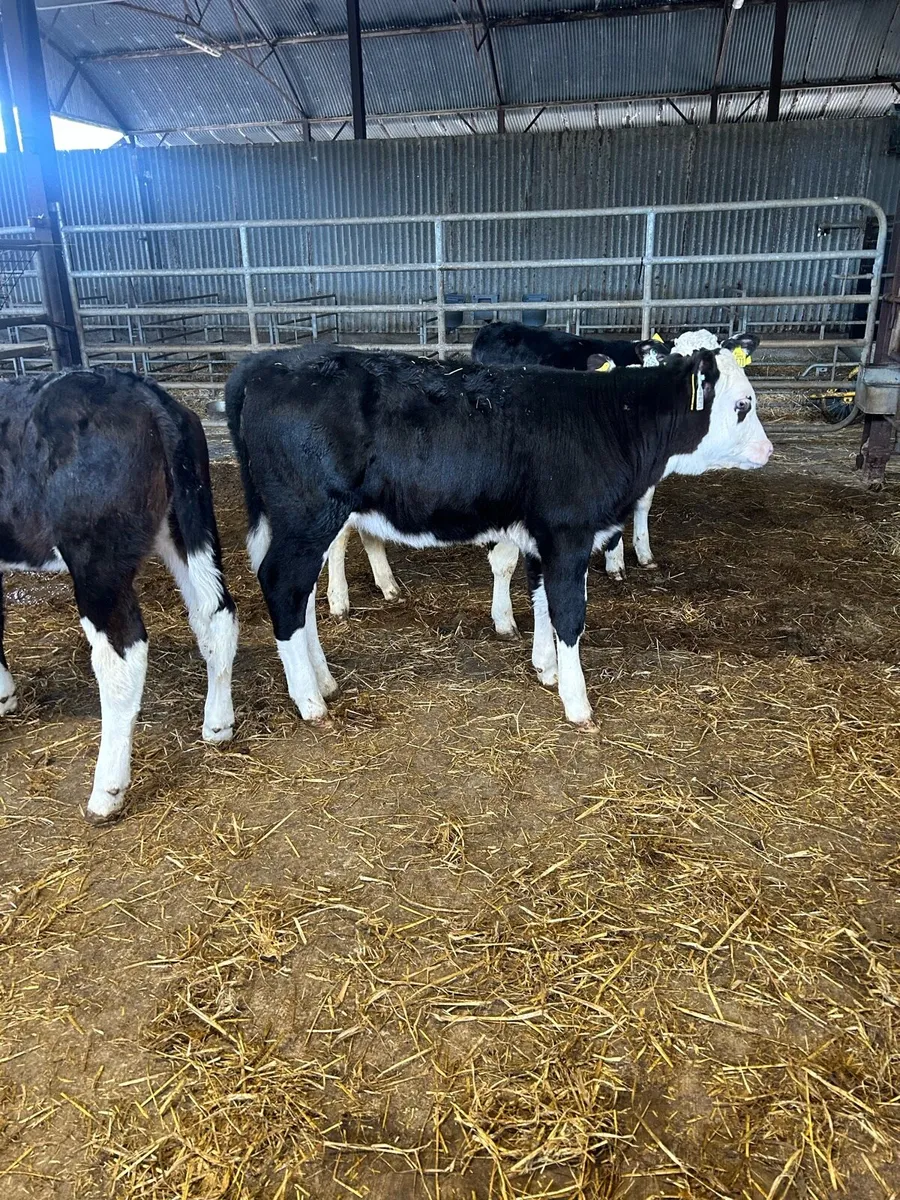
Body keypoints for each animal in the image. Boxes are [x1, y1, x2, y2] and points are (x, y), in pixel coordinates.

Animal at [0, 368, 238, 823]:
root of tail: (145, 393)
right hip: (188, 522)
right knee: (215, 615)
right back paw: (218, 725)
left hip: (97, 558)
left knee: (123, 652)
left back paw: (106, 791)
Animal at [225, 340, 771, 728]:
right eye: (743, 405)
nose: (767, 451)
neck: (612, 422)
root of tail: (267, 363)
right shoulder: (569, 532)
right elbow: (569, 613)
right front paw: (577, 702)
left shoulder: (542, 536)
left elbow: (542, 599)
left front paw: (545, 668)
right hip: (309, 515)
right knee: (284, 586)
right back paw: (310, 700)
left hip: (301, 521)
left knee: (300, 594)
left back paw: (324, 680)